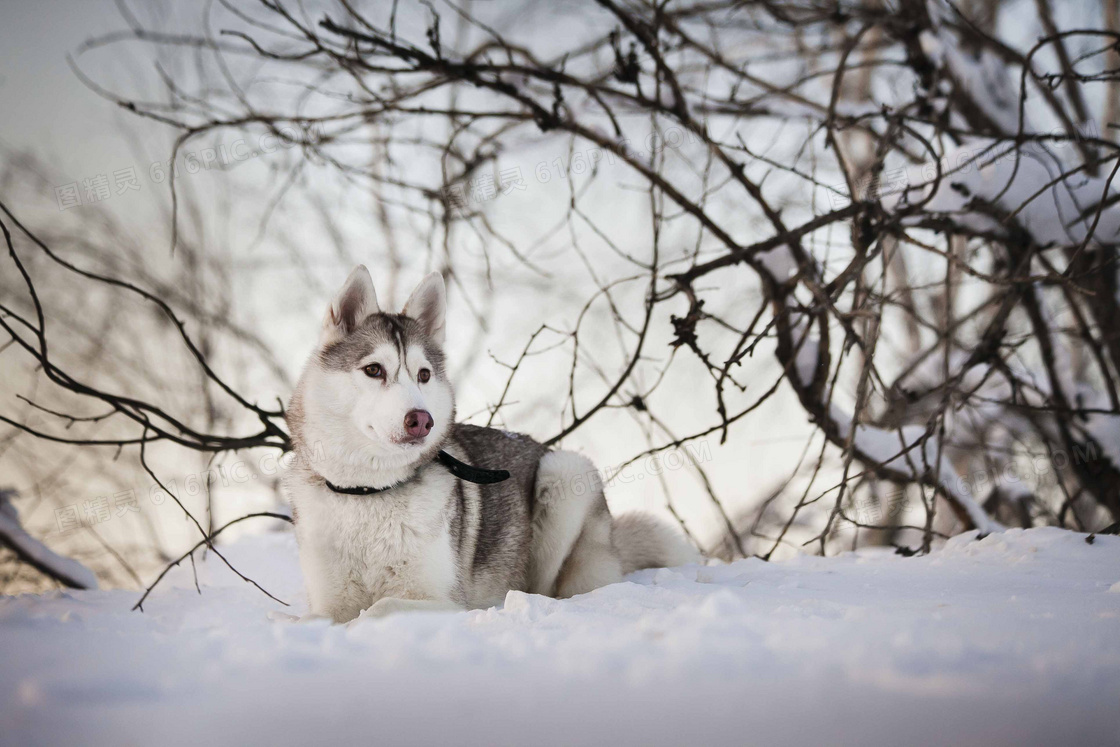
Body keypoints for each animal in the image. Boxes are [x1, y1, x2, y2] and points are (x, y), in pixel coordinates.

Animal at [282, 265, 698, 622]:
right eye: (373, 370)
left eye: (424, 375)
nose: (422, 420)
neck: (369, 492)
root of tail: (612, 545)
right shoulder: (329, 598)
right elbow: (316, 618)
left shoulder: (448, 602)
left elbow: (379, 608)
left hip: (565, 474)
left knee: (551, 588)